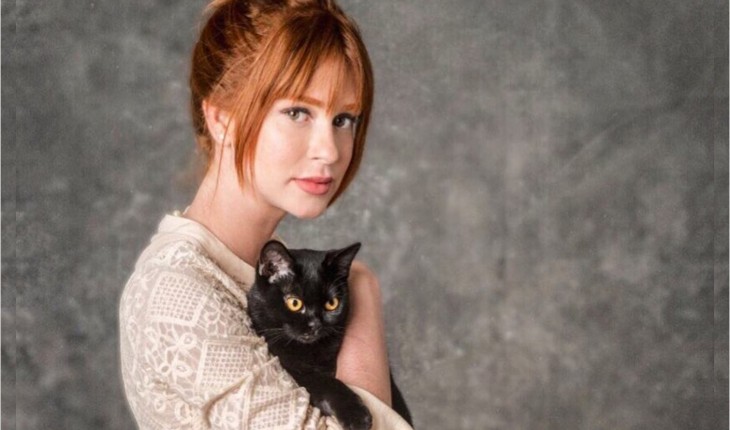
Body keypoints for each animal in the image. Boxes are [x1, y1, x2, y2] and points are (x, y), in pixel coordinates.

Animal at [246, 240, 413, 430]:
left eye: (332, 303)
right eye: (294, 303)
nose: (316, 325)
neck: (311, 352)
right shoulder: (293, 370)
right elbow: (325, 383)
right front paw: (357, 415)